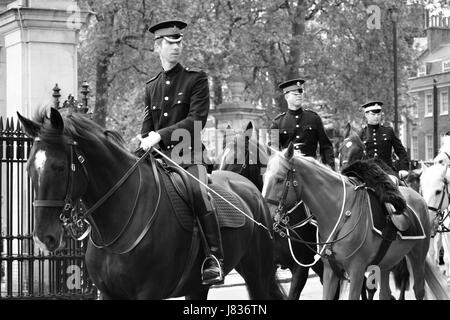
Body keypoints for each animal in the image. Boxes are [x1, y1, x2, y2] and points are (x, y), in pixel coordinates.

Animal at [18, 107, 284, 300]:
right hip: (197, 287)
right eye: (29, 167)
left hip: (257, 274)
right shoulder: (109, 294)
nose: (43, 237)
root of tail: (251, 189)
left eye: (59, 167)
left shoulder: (149, 293)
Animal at [264, 143, 432, 300]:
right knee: (385, 292)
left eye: (279, 179)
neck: (338, 211)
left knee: (418, 289)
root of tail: (416, 195)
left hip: (418, 256)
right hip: (387, 262)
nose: (265, 213)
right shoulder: (330, 270)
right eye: (264, 177)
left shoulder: (356, 270)